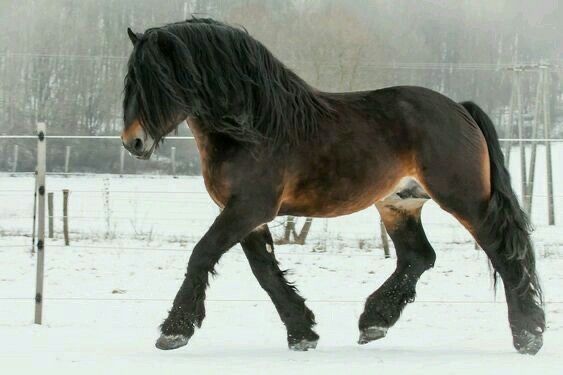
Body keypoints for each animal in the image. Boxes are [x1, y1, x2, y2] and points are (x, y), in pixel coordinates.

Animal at [121, 18, 544, 356]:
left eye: (157, 80)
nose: (133, 142)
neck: (253, 127)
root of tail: (459, 108)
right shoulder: (249, 216)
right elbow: (265, 272)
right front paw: (302, 333)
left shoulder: (248, 209)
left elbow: (202, 254)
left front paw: (174, 332)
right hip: (399, 203)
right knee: (418, 257)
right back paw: (374, 322)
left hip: (466, 199)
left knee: (504, 253)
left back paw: (528, 336)